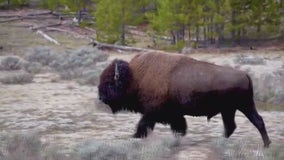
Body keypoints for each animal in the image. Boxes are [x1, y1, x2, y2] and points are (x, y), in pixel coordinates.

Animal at [98, 52, 272, 148]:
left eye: (110, 83)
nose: (100, 97)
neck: (135, 77)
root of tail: (245, 74)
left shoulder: (152, 113)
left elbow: (143, 126)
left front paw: (134, 136)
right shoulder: (173, 115)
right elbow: (179, 128)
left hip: (242, 106)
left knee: (251, 123)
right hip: (232, 109)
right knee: (242, 124)